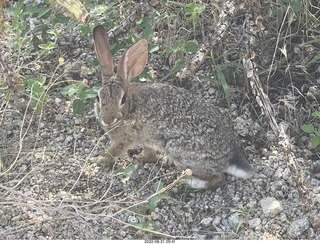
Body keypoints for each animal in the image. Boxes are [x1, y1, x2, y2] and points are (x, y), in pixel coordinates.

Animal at [93, 25, 255, 191]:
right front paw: (140, 158)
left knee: (218, 178)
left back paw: (189, 183)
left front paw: (100, 160)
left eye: (122, 99)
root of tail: (230, 157)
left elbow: (113, 152)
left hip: (179, 152)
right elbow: (149, 154)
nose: (108, 120)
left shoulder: (125, 139)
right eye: (98, 97)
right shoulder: (146, 140)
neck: (131, 108)